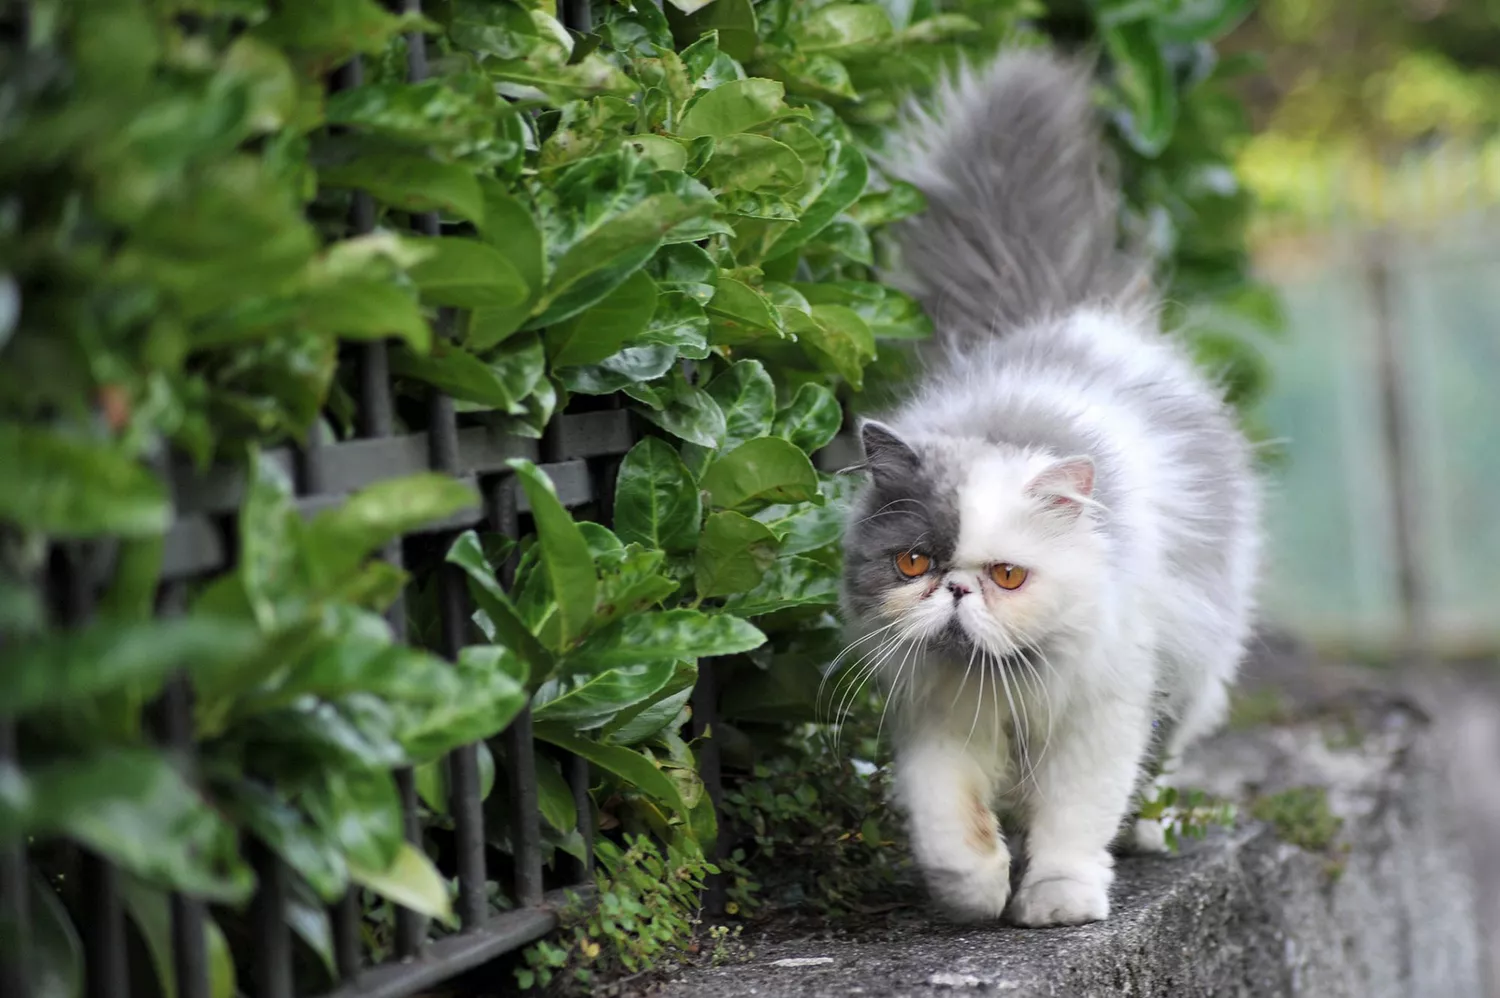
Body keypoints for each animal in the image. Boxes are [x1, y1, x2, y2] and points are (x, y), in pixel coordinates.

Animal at [840, 48, 1260, 924]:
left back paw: (1150, 833)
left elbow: (1077, 814)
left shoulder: (1103, 710)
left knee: (1162, 763)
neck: (1003, 683)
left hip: (1196, 663)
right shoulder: (937, 720)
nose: (956, 591)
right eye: (913, 564)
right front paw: (975, 893)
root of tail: (1064, 317)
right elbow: (948, 824)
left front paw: (1058, 899)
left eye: (1006, 575)